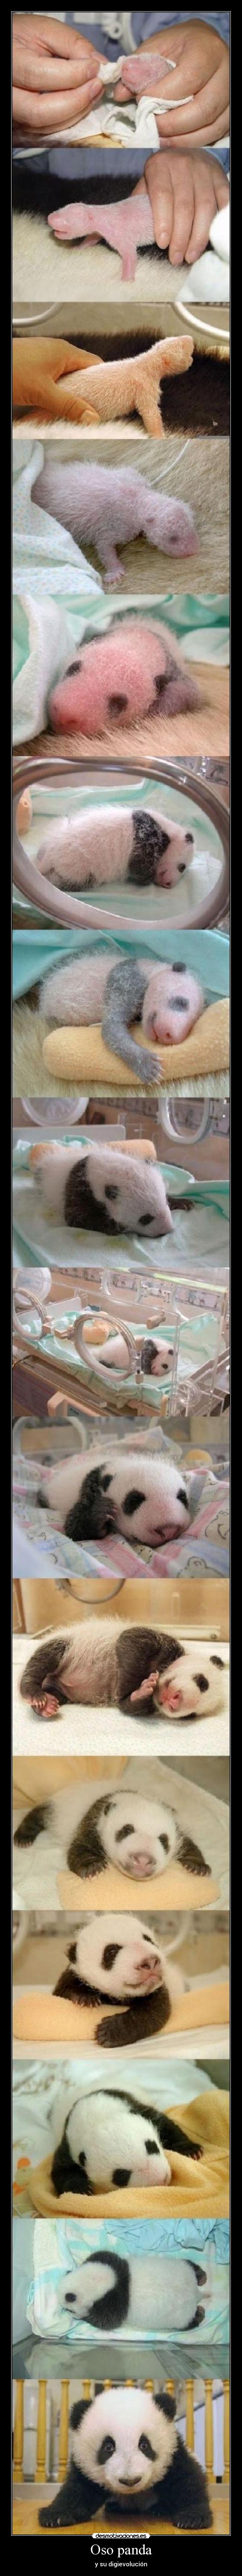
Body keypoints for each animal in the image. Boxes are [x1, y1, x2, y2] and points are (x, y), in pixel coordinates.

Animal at [18, 1617, 226, 1726]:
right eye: (202, 1682)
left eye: (191, 1716)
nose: (174, 1703)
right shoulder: (165, 1644)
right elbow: (131, 1640)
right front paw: (127, 1686)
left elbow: (128, 1705)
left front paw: (141, 1691)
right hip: (67, 1644)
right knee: (44, 1660)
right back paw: (34, 1692)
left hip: (62, 1691)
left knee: (55, 1692)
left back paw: (47, 1705)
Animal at [33, 1448, 191, 1550]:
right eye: (134, 1501)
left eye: (182, 1498)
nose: (169, 1530)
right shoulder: (90, 1490)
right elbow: (73, 1528)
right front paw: (100, 1513)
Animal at [38, 2384, 213, 2528]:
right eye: (108, 2447)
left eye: (144, 2445)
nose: (130, 2481)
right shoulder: (85, 2466)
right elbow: (78, 2489)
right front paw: (56, 2515)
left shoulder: (173, 2454)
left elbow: (187, 2480)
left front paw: (192, 2517)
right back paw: (116, 2507)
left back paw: (160, 2508)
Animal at [50, 2083, 202, 2200]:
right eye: (122, 2175)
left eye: (151, 2146)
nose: (162, 2179)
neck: (96, 2118)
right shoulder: (69, 2142)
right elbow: (61, 2170)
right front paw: (81, 2188)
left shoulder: (136, 2108)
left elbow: (166, 2125)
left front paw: (191, 2151)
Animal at [58, 2245, 208, 2334]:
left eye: (71, 2310)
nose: (68, 2312)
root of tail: (197, 2295)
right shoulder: (110, 2262)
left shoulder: (111, 2309)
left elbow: (107, 2323)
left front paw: (86, 2318)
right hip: (183, 2268)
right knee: (191, 2266)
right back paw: (201, 2277)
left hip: (182, 2318)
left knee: (190, 2322)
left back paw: (200, 2314)